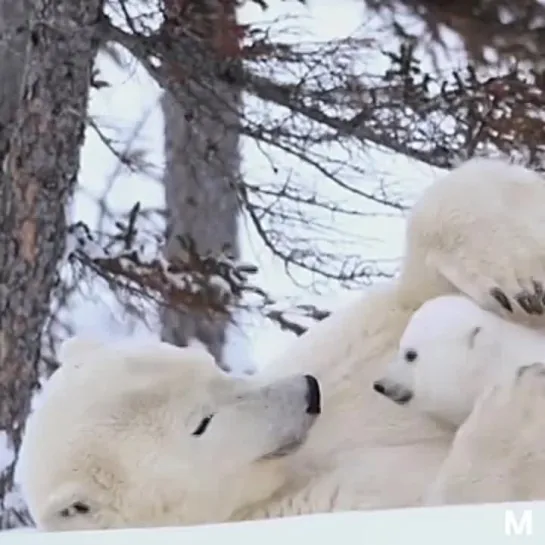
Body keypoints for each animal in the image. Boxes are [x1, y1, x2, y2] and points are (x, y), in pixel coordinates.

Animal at [20, 157, 545, 532]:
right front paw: (519, 405)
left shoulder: (345, 354)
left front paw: (518, 277)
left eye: (208, 364)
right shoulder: (316, 509)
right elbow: (446, 500)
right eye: (202, 423)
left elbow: (414, 293)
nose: (309, 392)